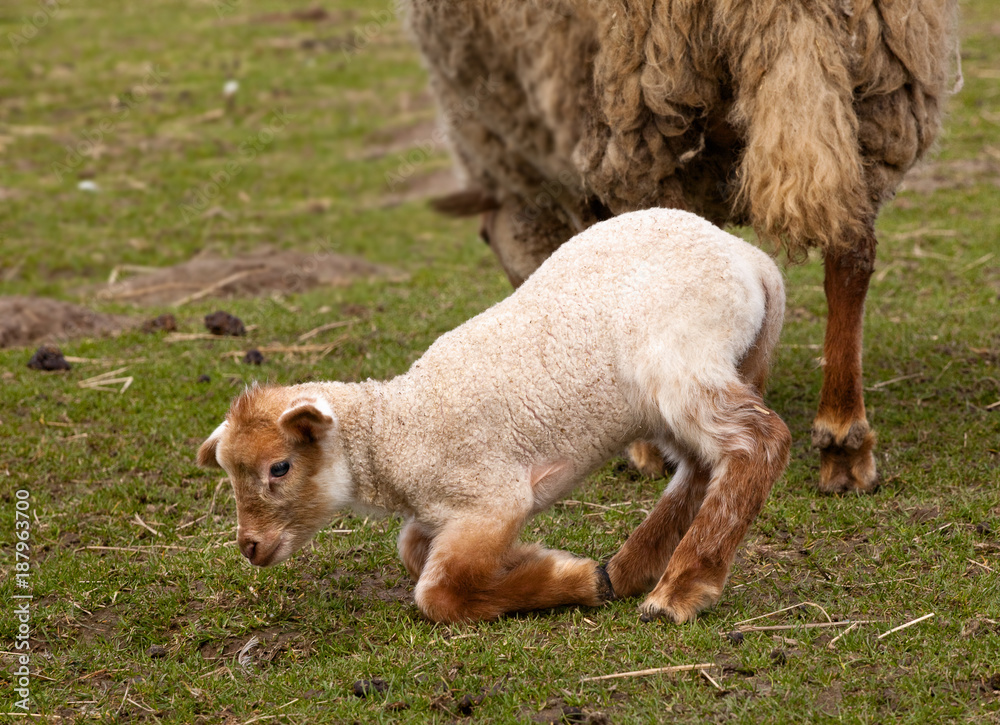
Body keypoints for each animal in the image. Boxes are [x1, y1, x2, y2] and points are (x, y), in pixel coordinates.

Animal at [197, 209, 791, 623]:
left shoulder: (492, 499)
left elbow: (438, 592)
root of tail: (754, 262)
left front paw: (573, 579)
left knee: (760, 441)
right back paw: (630, 570)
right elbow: (414, 552)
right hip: (685, 385)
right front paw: (531, 560)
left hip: (682, 363)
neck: (396, 433)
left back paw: (677, 590)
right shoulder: (440, 514)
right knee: (701, 466)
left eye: (279, 467)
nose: (249, 547)